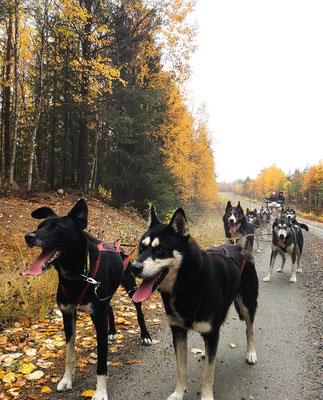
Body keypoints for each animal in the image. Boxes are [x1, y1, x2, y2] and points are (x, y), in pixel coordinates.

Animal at [23, 200, 153, 400]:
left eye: (56, 227)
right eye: (39, 226)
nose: (29, 237)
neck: (78, 275)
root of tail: (117, 246)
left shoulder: (98, 318)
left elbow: (102, 363)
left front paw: (100, 391)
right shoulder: (68, 314)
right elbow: (69, 353)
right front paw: (66, 380)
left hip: (131, 287)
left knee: (138, 311)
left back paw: (145, 335)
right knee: (110, 309)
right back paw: (112, 331)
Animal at [131, 208, 258, 400]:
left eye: (160, 248)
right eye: (141, 247)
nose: (134, 267)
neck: (188, 284)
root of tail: (239, 248)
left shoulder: (209, 333)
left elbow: (208, 374)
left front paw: (206, 396)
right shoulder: (178, 332)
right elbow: (181, 369)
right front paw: (178, 393)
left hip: (246, 306)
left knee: (249, 329)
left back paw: (251, 353)